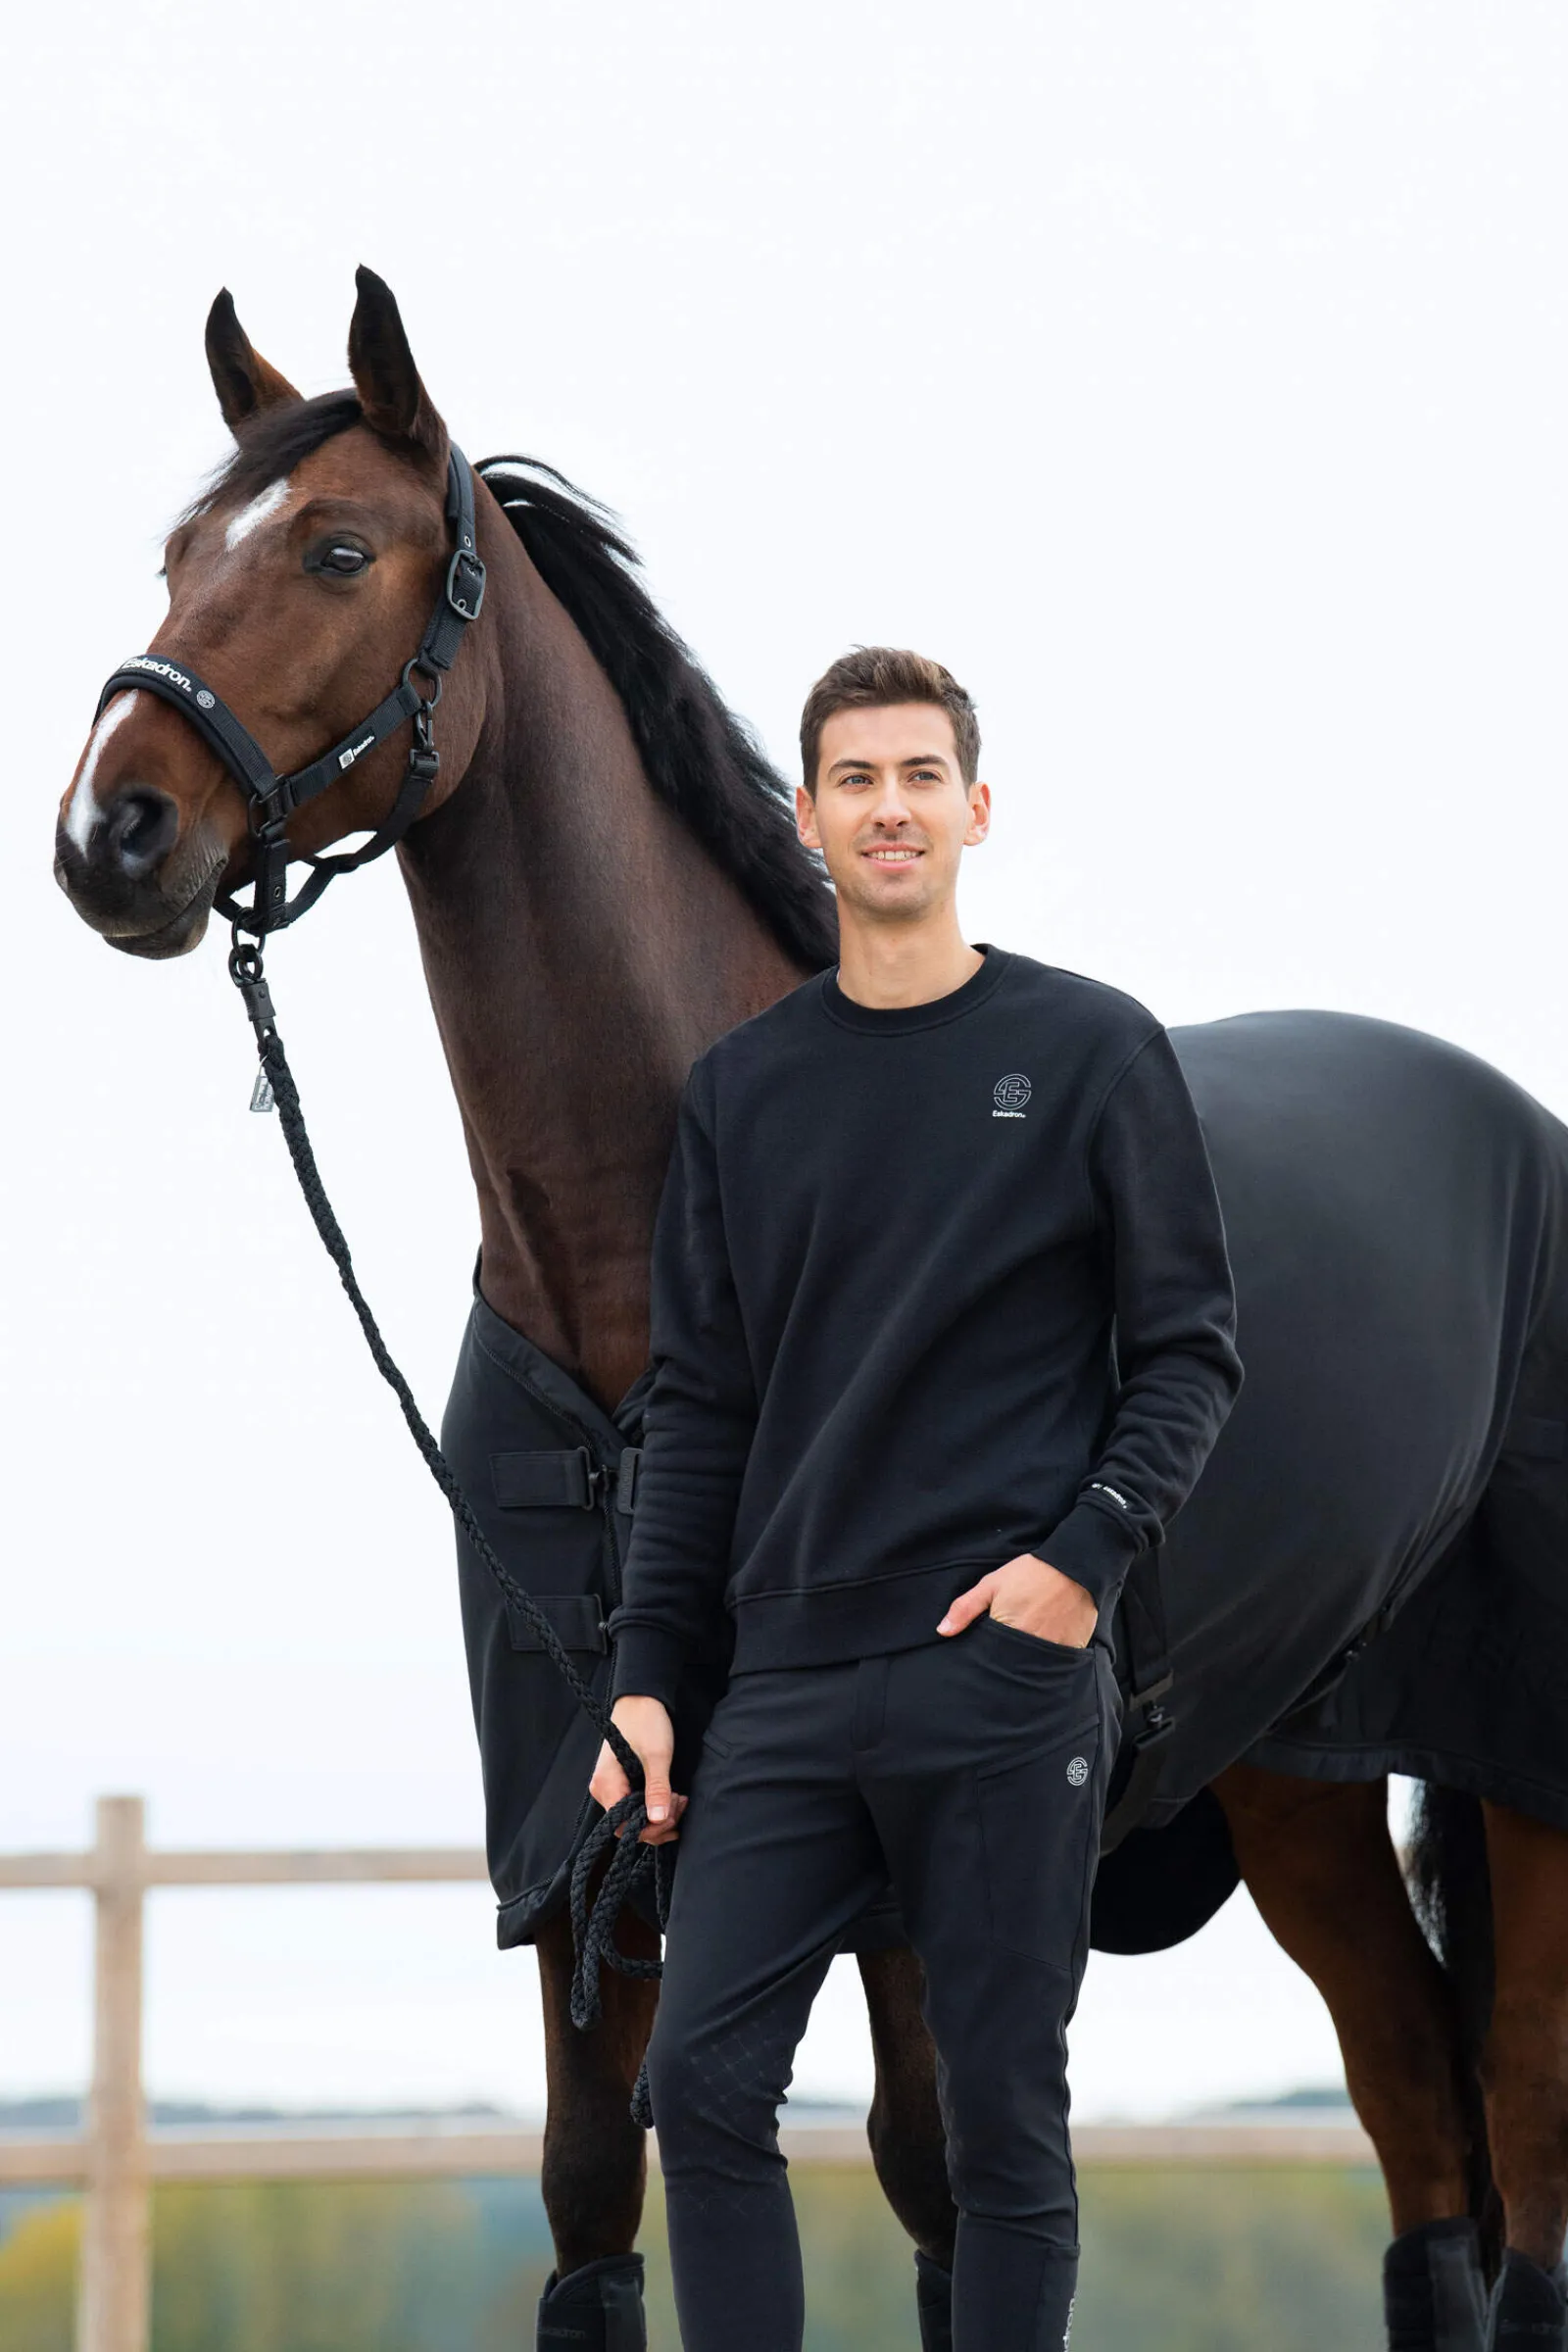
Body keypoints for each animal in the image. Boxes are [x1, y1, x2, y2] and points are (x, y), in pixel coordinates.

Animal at [53, 269, 1568, 2352]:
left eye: (339, 550)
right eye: (178, 555)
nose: (107, 834)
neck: (631, 1281)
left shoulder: (922, 1877)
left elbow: (944, 2200)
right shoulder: (588, 1846)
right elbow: (594, 2206)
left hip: (1524, 1791)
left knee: (1526, 2170)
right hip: (1301, 1792)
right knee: (1435, 2158)